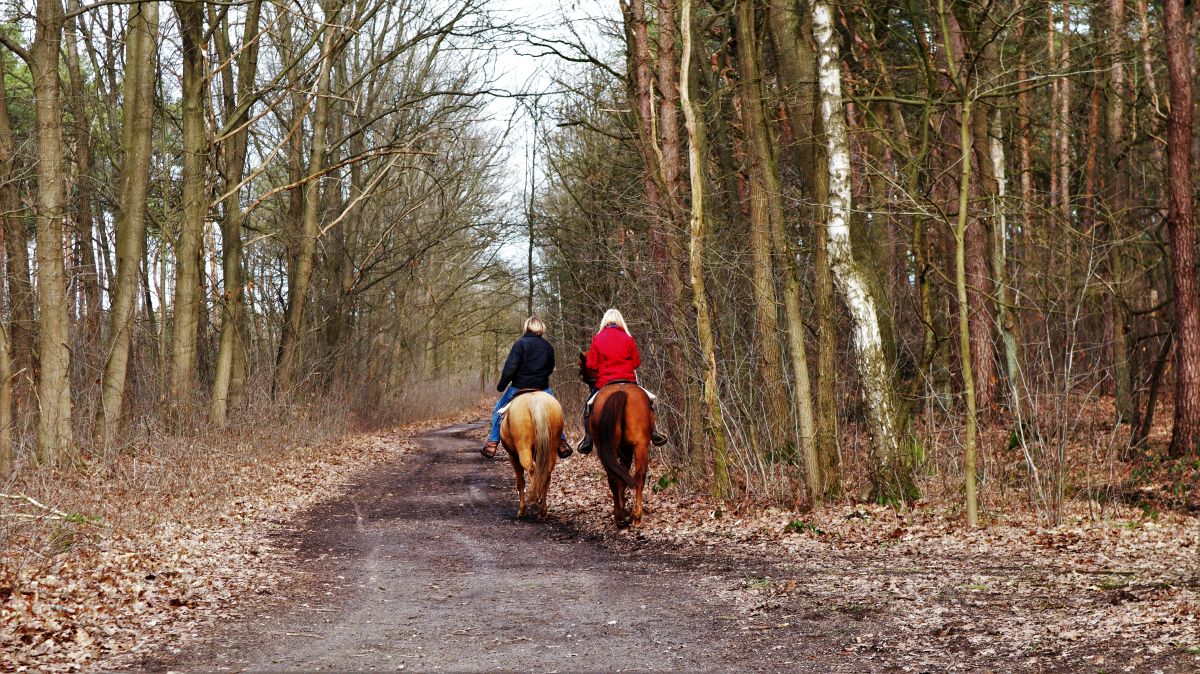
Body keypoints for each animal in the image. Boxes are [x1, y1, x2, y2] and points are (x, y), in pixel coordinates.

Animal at [501, 388, 566, 520]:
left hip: (523, 448)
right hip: (551, 449)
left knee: (531, 470)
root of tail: (535, 399)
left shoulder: (513, 457)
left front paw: (521, 510)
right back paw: (542, 509)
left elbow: (520, 482)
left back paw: (534, 500)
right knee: (546, 474)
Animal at [578, 352, 652, 525]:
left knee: (615, 476)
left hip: (607, 448)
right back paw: (635, 515)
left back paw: (621, 515)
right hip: (639, 445)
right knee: (638, 475)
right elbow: (624, 471)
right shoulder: (626, 449)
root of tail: (621, 392)